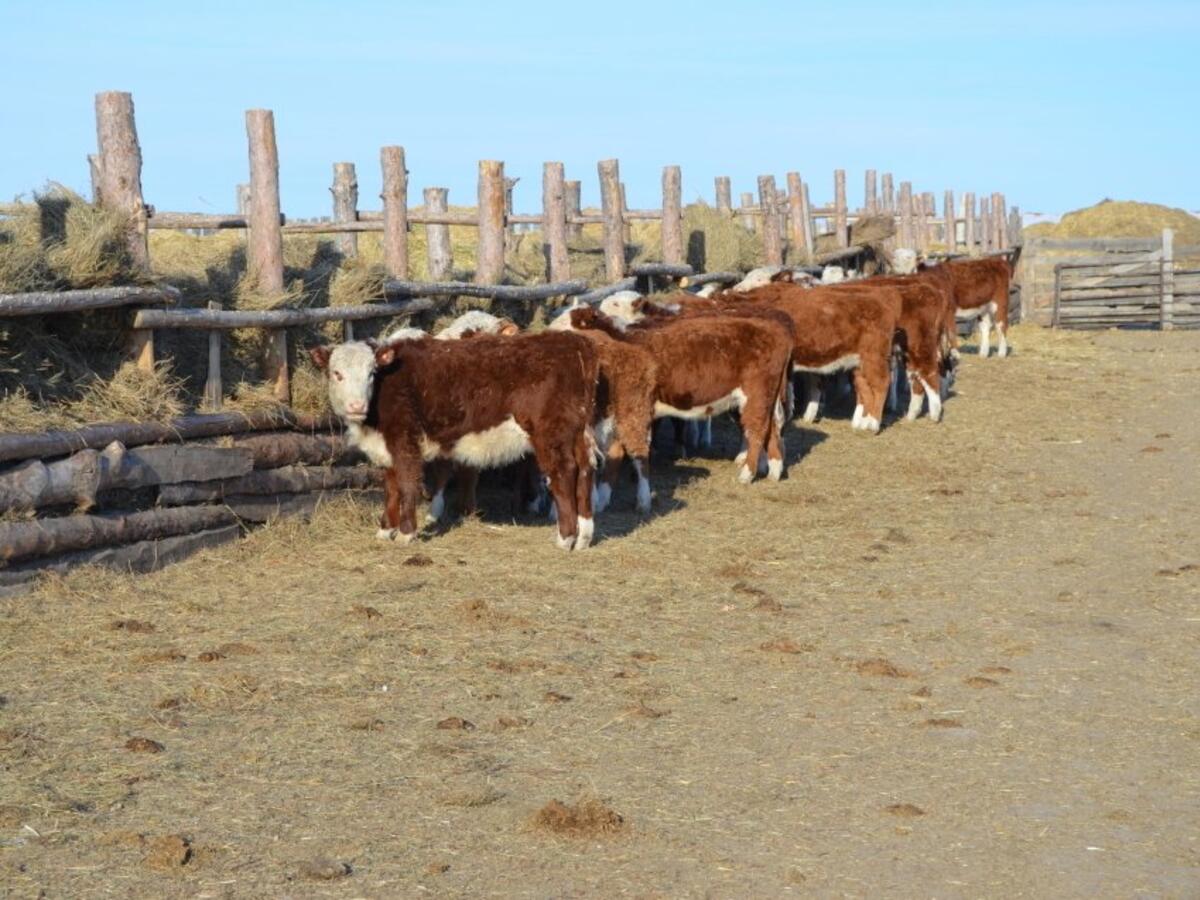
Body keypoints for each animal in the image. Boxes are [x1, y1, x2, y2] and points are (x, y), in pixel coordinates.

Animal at [309, 333, 600, 549]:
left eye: (371, 373)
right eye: (337, 373)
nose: (356, 405)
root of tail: (575, 343)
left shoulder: (405, 440)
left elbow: (406, 484)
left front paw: (405, 532)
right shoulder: (387, 447)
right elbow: (390, 488)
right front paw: (385, 529)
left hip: (551, 433)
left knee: (564, 472)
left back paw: (565, 537)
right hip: (577, 431)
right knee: (585, 470)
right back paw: (584, 536)